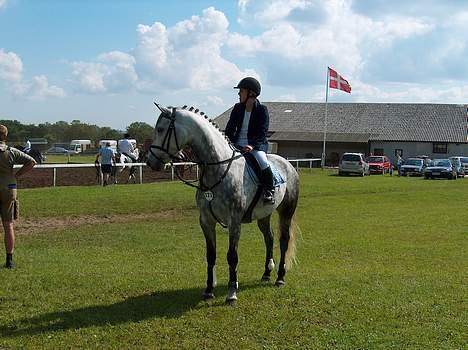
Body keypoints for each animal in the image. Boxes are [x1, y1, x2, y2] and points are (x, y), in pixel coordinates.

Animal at [146, 104, 300, 304]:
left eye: (160, 129)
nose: (150, 162)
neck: (218, 169)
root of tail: (288, 164)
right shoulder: (206, 221)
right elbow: (211, 255)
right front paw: (209, 290)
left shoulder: (234, 222)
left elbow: (232, 257)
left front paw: (231, 293)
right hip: (264, 215)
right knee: (269, 238)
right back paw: (266, 273)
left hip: (286, 212)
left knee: (283, 241)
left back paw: (280, 277)